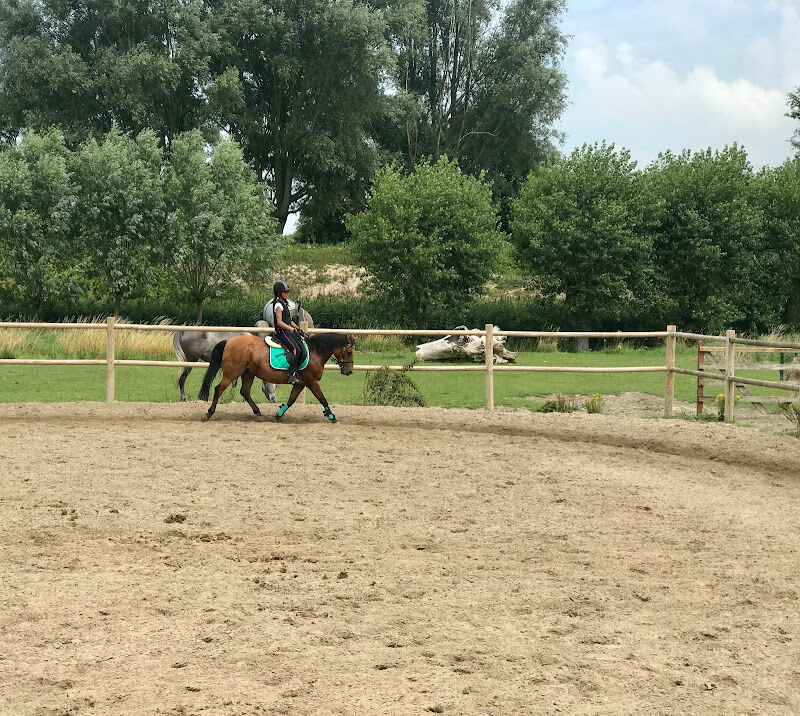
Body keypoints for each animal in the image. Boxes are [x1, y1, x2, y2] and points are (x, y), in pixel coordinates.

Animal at [173, 302, 314, 402]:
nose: (274, 400)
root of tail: (183, 330)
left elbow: (235, 383)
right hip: (190, 362)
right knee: (182, 379)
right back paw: (184, 399)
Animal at [198, 332, 354, 422]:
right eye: (349, 351)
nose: (349, 371)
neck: (315, 351)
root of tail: (229, 341)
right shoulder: (311, 381)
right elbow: (322, 399)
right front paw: (332, 416)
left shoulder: (301, 383)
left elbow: (291, 400)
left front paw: (279, 414)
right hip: (232, 372)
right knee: (219, 389)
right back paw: (209, 413)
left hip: (248, 373)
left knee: (245, 392)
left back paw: (258, 412)